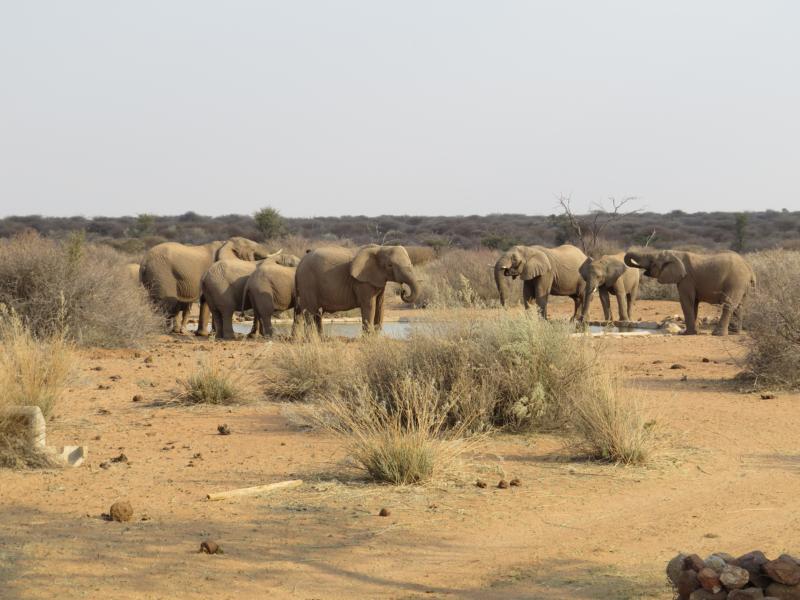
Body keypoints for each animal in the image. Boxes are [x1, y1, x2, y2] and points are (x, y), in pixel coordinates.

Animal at [139, 237, 277, 334]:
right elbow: (206, 300)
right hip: (161, 273)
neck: (226, 242)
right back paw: (163, 330)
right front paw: (206, 334)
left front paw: (207, 333)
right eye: (252, 249)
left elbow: (207, 300)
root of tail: (143, 262)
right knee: (166, 303)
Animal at [624, 248, 756, 335]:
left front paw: (687, 333)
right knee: (739, 306)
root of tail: (749, 268)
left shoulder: (686, 279)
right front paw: (691, 332)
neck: (676, 254)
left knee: (728, 304)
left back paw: (718, 334)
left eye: (653, 262)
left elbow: (686, 301)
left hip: (736, 282)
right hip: (742, 285)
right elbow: (694, 303)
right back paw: (735, 332)